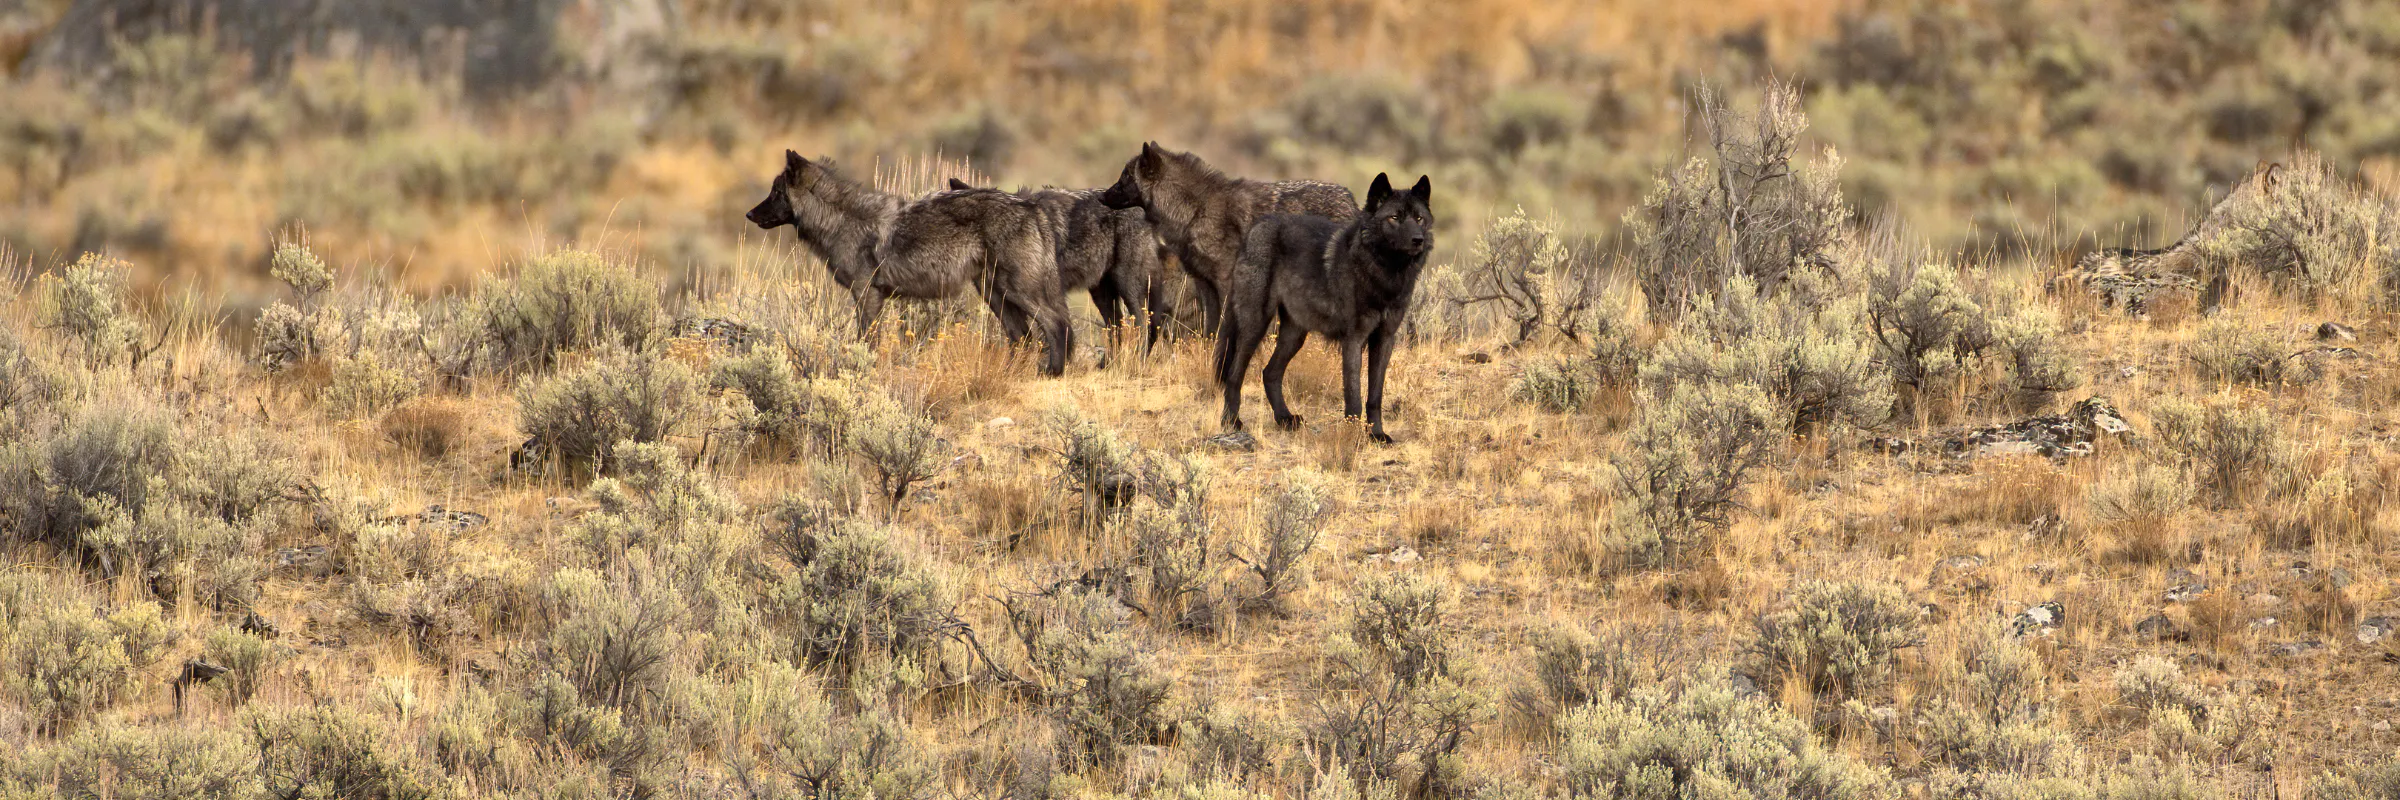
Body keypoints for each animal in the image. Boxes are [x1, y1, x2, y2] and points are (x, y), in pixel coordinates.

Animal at [747, 151, 1072, 375]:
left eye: (775, 193)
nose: (749, 214)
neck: (842, 221)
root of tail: (1030, 205)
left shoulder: (866, 294)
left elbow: (867, 341)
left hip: (1015, 291)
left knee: (1057, 324)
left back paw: (1053, 372)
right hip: (994, 293)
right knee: (1023, 336)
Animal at [951, 178, 1173, 359]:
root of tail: (1140, 208)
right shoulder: (997, 299)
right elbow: (1018, 338)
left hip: (1128, 285)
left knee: (1143, 326)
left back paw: (1135, 363)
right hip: (1101, 294)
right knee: (1116, 328)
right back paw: (1111, 364)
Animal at [1099, 142, 1357, 335]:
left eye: (1125, 177)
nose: (1102, 196)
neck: (1196, 211)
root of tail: (1350, 198)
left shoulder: (1225, 281)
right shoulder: (1205, 284)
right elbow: (1210, 330)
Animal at [1214, 173, 1434, 443]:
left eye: (1419, 218)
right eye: (1394, 218)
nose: (1418, 240)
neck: (1383, 274)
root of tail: (1257, 226)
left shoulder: (1384, 339)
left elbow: (1374, 396)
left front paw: (1377, 435)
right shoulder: (1353, 340)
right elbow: (1353, 397)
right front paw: (1351, 438)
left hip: (1294, 335)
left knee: (1270, 373)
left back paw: (1285, 419)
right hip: (1256, 325)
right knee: (1235, 374)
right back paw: (1231, 422)